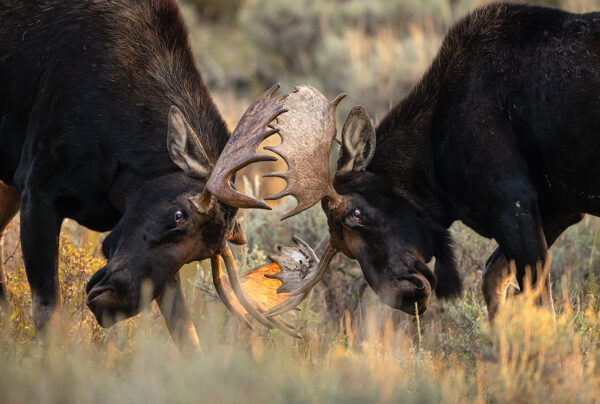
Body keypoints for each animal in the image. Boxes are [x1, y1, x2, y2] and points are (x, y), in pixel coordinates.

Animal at [0, 0, 310, 348]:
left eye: (196, 257)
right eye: (178, 214)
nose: (115, 302)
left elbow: (186, 334)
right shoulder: (38, 189)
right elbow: (47, 313)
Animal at [250, 2, 600, 318]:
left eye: (356, 213)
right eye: (345, 248)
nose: (404, 296)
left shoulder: (513, 204)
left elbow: (538, 305)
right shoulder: (559, 209)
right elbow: (494, 281)